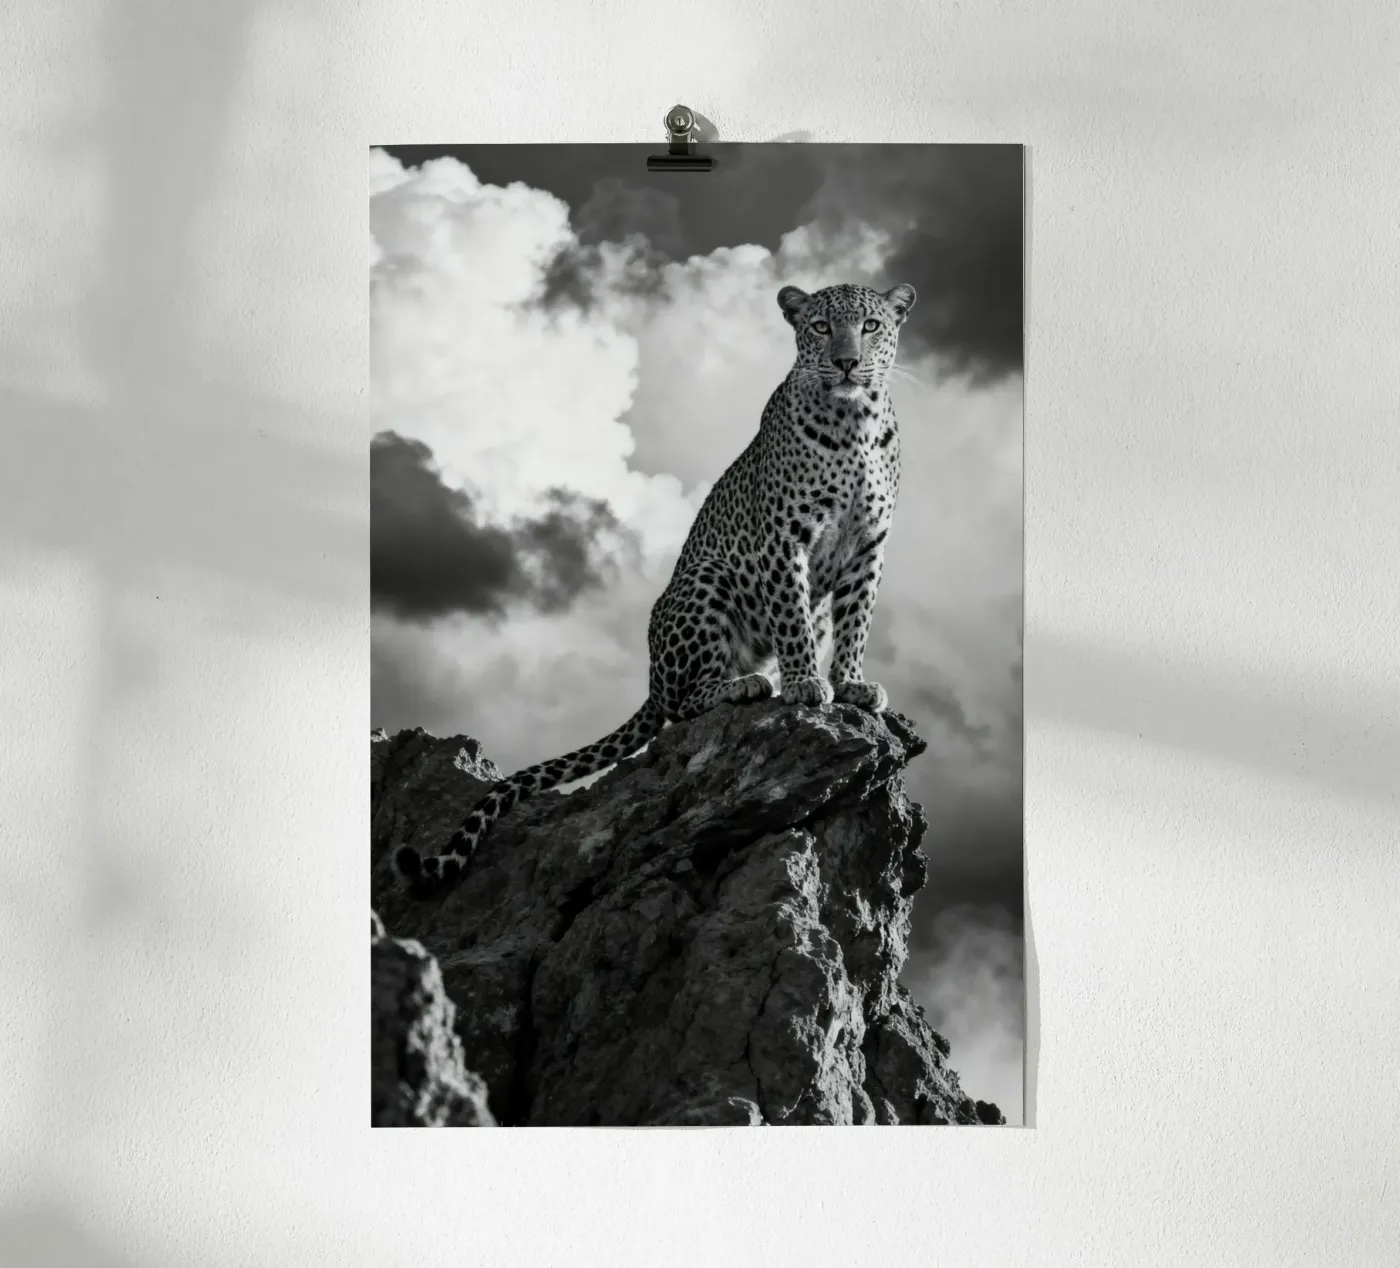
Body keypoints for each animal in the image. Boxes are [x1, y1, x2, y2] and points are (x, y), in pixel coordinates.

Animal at [393, 280, 916, 889]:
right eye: (820, 327)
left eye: (871, 326)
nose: (846, 362)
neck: (853, 422)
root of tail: (648, 676)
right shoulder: (783, 538)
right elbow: (792, 619)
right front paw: (808, 683)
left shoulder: (868, 546)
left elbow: (856, 620)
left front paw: (852, 683)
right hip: (705, 580)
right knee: (682, 704)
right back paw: (744, 686)